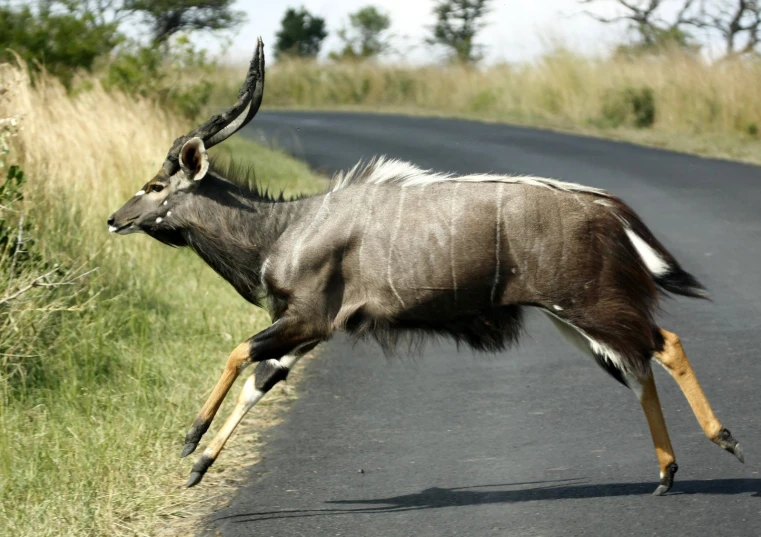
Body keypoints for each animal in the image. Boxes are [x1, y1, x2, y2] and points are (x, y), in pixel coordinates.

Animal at [108, 38, 744, 494]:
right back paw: (665, 474)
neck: (282, 230)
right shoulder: (307, 332)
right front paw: (199, 466)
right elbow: (260, 380)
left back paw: (723, 440)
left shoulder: (308, 319)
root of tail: (609, 209)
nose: (115, 219)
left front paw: (190, 440)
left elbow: (240, 352)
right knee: (636, 365)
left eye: (156, 185)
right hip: (574, 319)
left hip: (587, 303)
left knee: (664, 344)